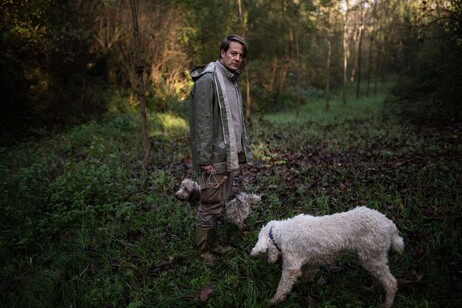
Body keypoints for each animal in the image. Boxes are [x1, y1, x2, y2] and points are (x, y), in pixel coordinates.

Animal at [249, 206, 404, 306]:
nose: (267, 262)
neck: (280, 233)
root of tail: (389, 225)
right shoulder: (312, 262)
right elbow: (307, 275)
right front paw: (303, 283)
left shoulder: (291, 265)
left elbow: (283, 285)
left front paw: (274, 300)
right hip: (372, 257)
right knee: (379, 277)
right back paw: (372, 288)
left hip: (372, 255)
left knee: (391, 282)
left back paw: (387, 303)